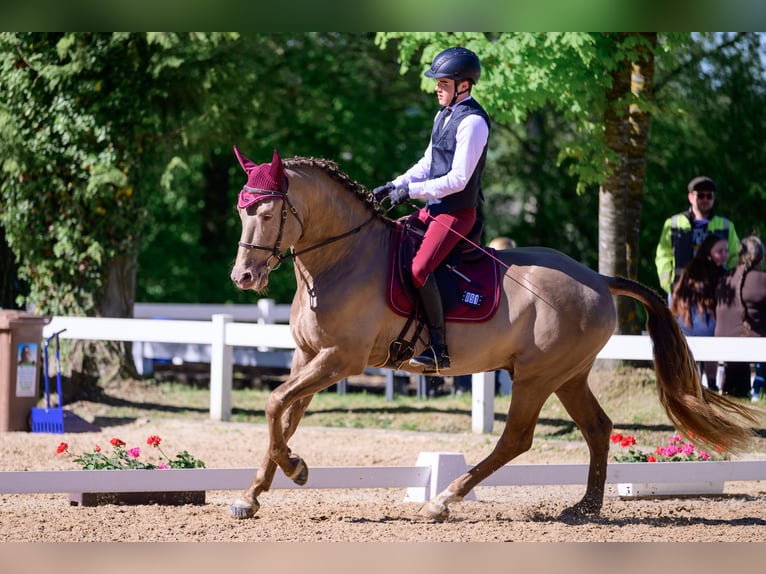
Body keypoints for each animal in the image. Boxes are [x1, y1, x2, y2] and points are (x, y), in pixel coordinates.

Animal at [229, 147, 758, 521]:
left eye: (269, 215)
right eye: (241, 211)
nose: (244, 278)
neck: (342, 257)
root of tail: (597, 278)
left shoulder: (340, 359)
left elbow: (274, 404)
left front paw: (294, 469)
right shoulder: (308, 356)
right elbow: (284, 416)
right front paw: (253, 494)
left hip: (536, 376)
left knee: (516, 439)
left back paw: (443, 500)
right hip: (569, 376)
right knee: (597, 428)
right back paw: (585, 507)